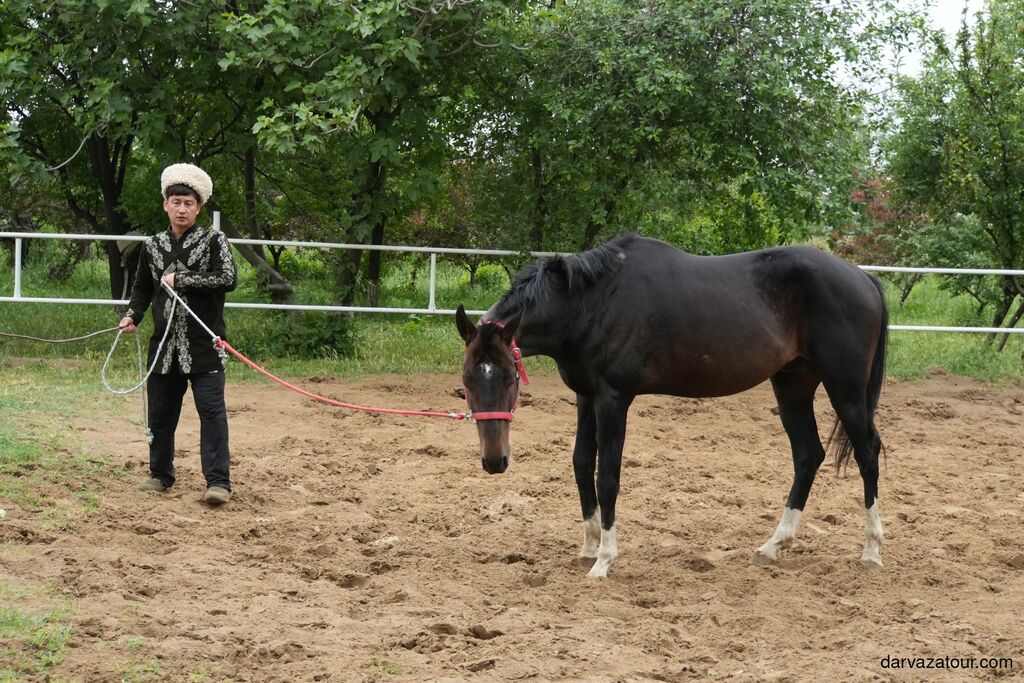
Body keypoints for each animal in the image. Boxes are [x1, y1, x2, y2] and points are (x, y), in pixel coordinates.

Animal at [455, 234, 888, 578]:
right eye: (467, 381)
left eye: (509, 378)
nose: (494, 462)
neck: (593, 302)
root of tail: (861, 277)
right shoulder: (586, 397)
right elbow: (580, 464)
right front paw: (589, 547)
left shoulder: (613, 399)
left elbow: (606, 475)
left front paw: (605, 560)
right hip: (792, 385)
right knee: (807, 455)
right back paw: (774, 545)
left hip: (846, 390)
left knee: (867, 454)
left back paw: (871, 550)